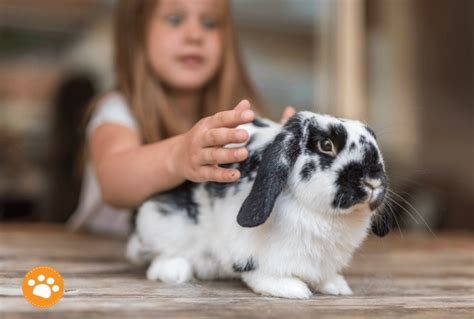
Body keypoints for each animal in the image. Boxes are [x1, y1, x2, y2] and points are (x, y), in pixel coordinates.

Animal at [126, 112, 392, 300]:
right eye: (326, 145)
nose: (373, 181)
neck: (326, 216)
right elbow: (262, 272)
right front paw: (291, 289)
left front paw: (336, 285)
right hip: (162, 221)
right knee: (162, 253)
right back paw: (173, 271)